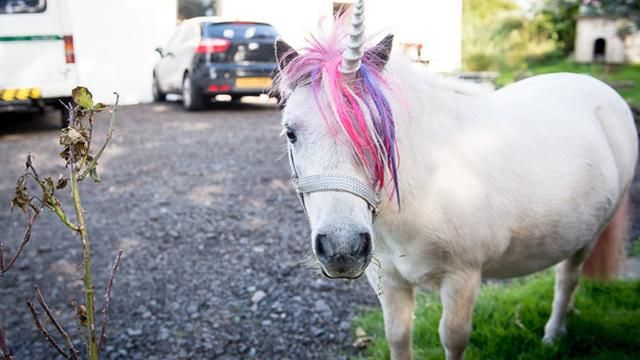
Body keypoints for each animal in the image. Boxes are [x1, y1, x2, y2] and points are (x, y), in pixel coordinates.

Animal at [272, 1, 636, 358]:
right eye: (290, 133)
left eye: (379, 131)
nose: (342, 248)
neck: (428, 183)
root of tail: (601, 89)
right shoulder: (387, 278)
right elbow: (398, 336)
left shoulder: (463, 277)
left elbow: (453, 338)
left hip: (592, 231)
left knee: (567, 277)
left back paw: (553, 333)